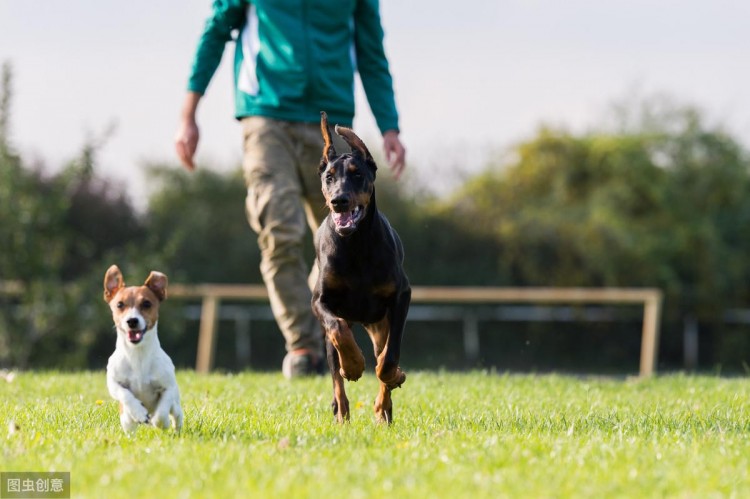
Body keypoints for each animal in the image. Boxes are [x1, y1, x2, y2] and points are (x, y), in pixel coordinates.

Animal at [103, 266, 184, 434]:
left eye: (147, 304)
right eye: (120, 304)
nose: (132, 321)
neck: (137, 354)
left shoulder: (168, 387)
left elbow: (161, 413)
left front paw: (160, 422)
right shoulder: (113, 383)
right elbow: (124, 394)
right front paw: (139, 412)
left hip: (176, 404)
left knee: (176, 415)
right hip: (125, 418)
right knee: (128, 423)